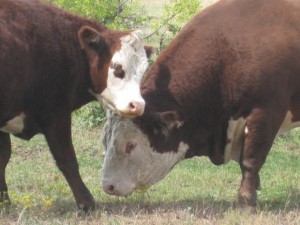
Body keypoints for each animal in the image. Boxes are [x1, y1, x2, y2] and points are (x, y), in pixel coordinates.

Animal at [0, 0, 154, 211]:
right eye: (117, 68)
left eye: (143, 71)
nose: (137, 105)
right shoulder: (57, 115)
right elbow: (67, 159)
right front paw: (86, 202)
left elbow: (3, 157)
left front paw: (4, 201)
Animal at [101, 0, 300, 213]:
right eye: (105, 141)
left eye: (130, 145)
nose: (107, 186)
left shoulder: (265, 113)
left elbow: (250, 160)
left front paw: (246, 200)